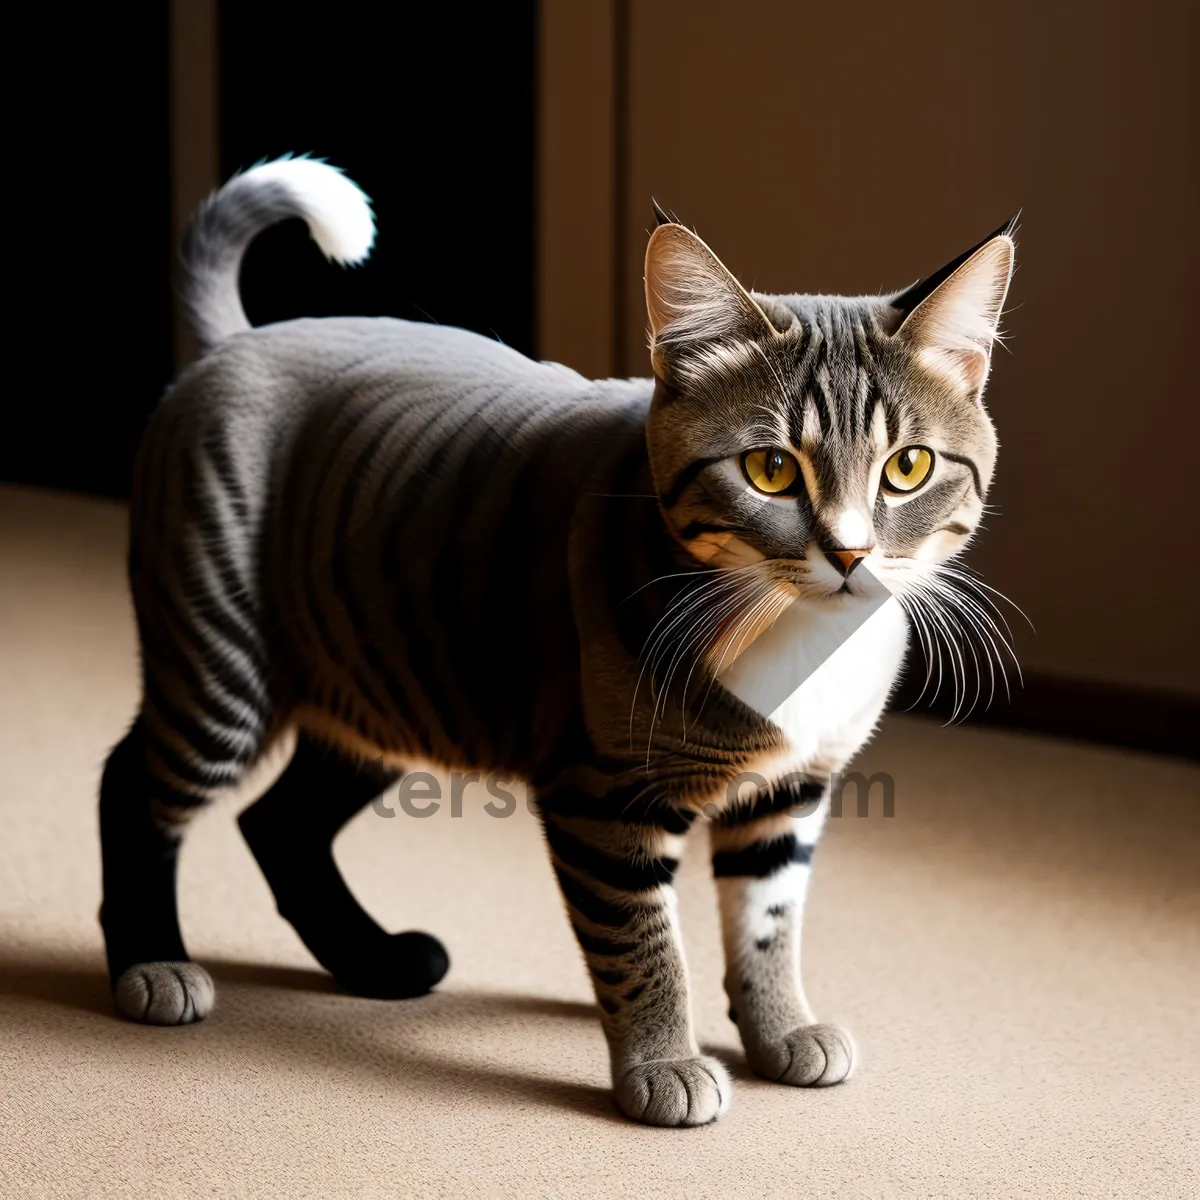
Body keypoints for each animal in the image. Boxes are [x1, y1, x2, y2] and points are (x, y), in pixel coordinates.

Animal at [100, 157, 1012, 1123]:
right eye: (770, 470)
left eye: (907, 466)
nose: (848, 553)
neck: (792, 635)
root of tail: (236, 341)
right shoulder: (600, 794)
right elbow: (643, 945)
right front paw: (663, 1062)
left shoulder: (790, 792)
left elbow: (768, 924)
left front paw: (780, 1027)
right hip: (222, 667)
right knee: (134, 785)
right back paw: (151, 963)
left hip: (387, 681)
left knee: (281, 823)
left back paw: (375, 960)